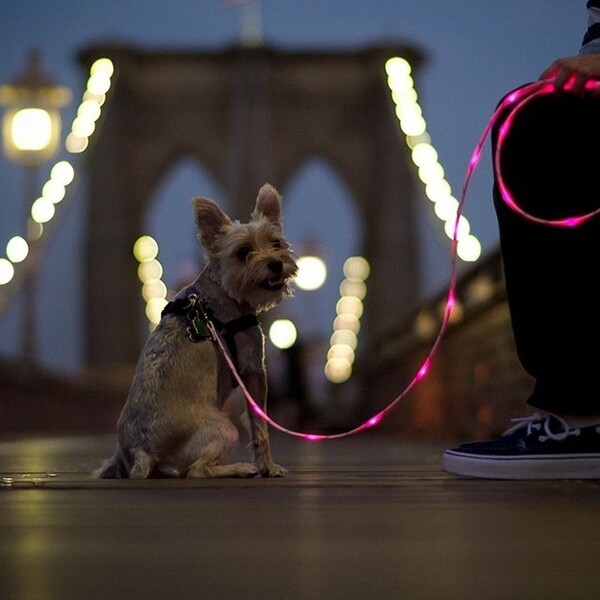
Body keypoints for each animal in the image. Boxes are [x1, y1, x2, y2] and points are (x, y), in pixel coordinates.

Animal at [95, 183, 298, 478]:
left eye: (277, 243)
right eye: (243, 252)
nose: (275, 263)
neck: (218, 292)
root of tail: (143, 451)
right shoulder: (253, 370)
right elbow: (260, 427)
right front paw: (268, 466)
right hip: (226, 429)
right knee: (197, 470)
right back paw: (240, 467)